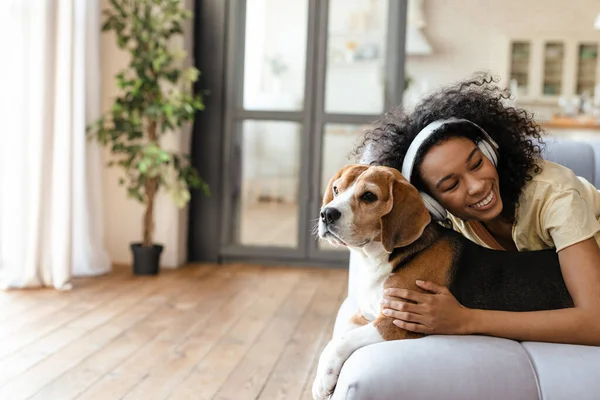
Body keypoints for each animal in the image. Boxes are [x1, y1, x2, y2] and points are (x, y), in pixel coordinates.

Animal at [314, 165, 572, 400]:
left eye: (369, 196)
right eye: (337, 189)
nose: (327, 213)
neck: (384, 258)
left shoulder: (395, 321)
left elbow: (340, 341)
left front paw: (322, 381)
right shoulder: (366, 313)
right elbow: (339, 333)